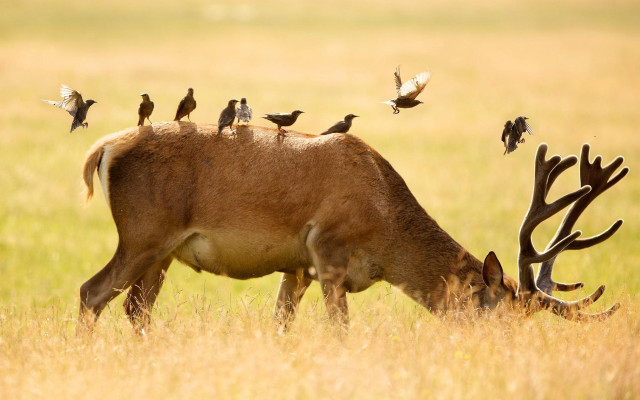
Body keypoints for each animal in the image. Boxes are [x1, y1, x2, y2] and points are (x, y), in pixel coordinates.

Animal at [78, 122, 627, 332]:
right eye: (501, 318)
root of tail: (103, 148)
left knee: (135, 309)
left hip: (162, 253)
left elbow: (280, 324)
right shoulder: (328, 249)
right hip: (144, 234)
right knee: (92, 292)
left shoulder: (296, 266)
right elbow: (339, 329)